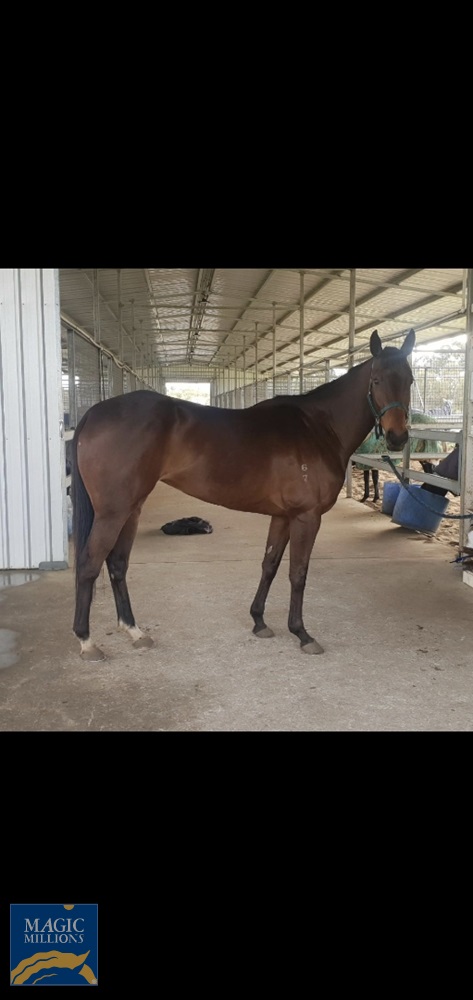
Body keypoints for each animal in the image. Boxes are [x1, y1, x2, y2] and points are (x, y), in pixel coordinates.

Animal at [70, 328, 415, 660]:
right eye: (376, 380)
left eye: (410, 380)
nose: (398, 437)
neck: (318, 427)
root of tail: (94, 413)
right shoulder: (306, 517)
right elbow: (298, 573)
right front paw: (302, 634)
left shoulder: (283, 516)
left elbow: (270, 564)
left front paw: (259, 620)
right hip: (113, 512)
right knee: (89, 564)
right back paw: (87, 642)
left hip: (132, 508)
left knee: (117, 564)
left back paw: (134, 631)